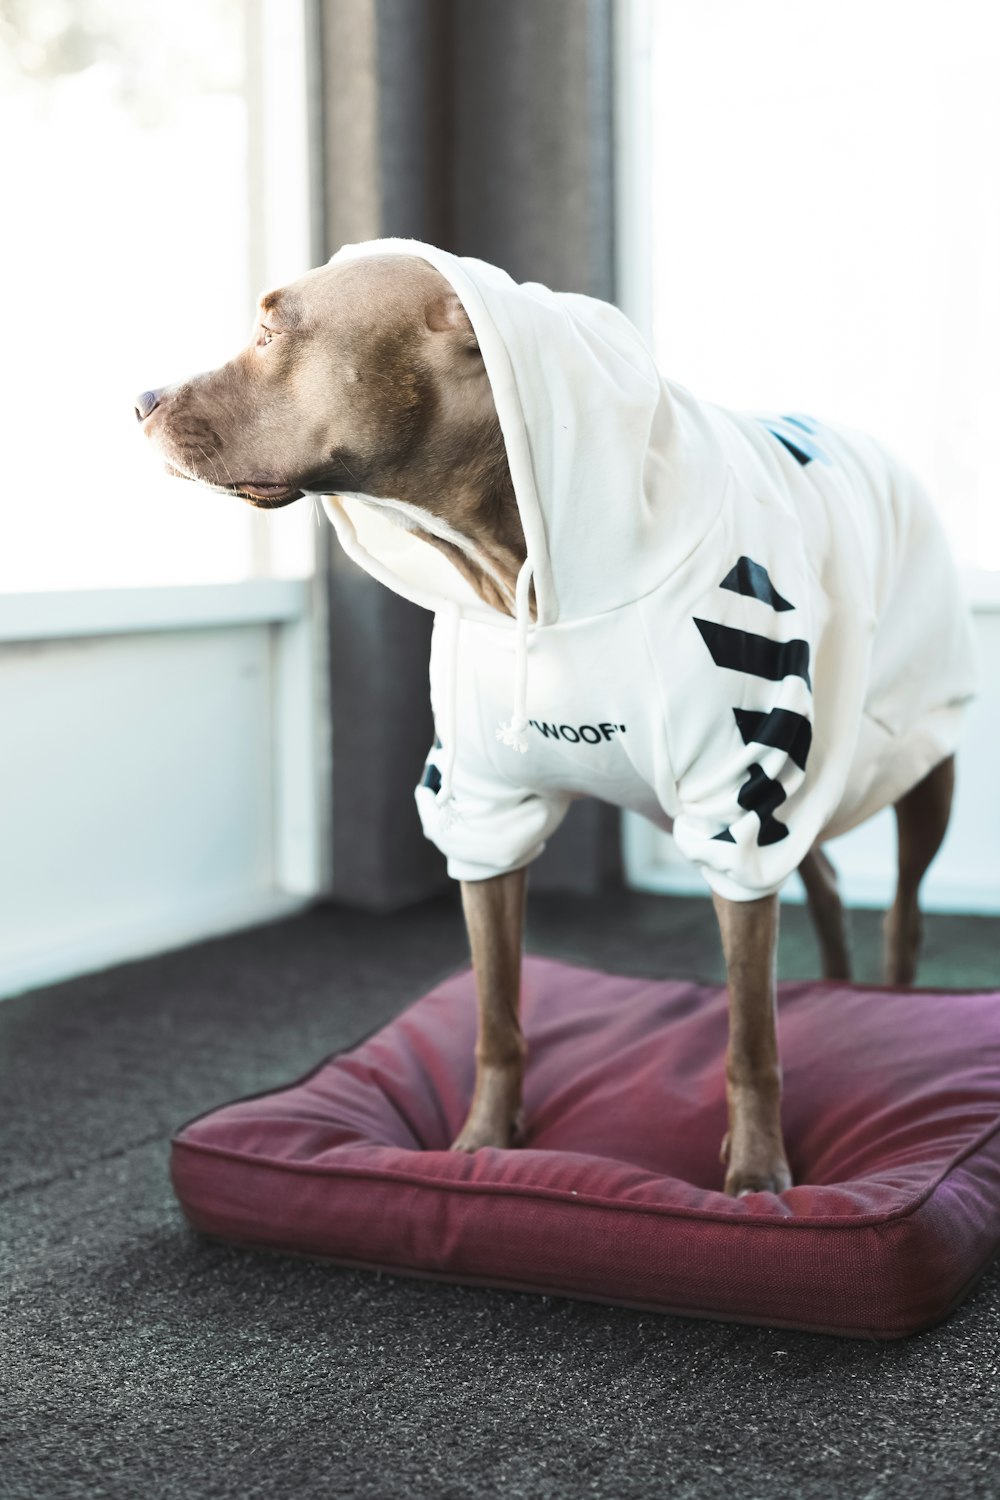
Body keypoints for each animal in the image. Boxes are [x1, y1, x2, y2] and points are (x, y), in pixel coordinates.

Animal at [137, 237, 983, 1194]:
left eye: (272, 330)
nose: (141, 400)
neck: (513, 570)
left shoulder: (735, 797)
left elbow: (748, 1037)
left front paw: (758, 1169)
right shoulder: (483, 811)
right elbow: (495, 1014)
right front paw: (481, 1143)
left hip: (912, 757)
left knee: (902, 905)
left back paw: (886, 994)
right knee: (827, 879)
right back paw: (839, 990)